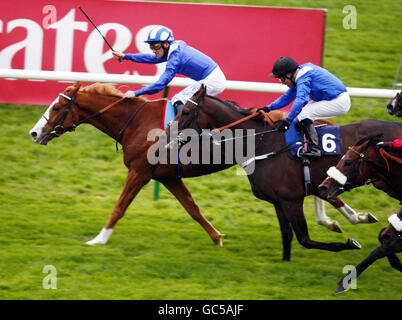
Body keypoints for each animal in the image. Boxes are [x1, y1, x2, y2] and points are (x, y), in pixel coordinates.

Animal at [173, 84, 402, 260]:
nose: (170, 134)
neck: (262, 143)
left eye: (185, 112)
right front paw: (285, 262)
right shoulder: (278, 201)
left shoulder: (292, 199)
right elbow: (287, 235)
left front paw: (350, 243)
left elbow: (305, 239)